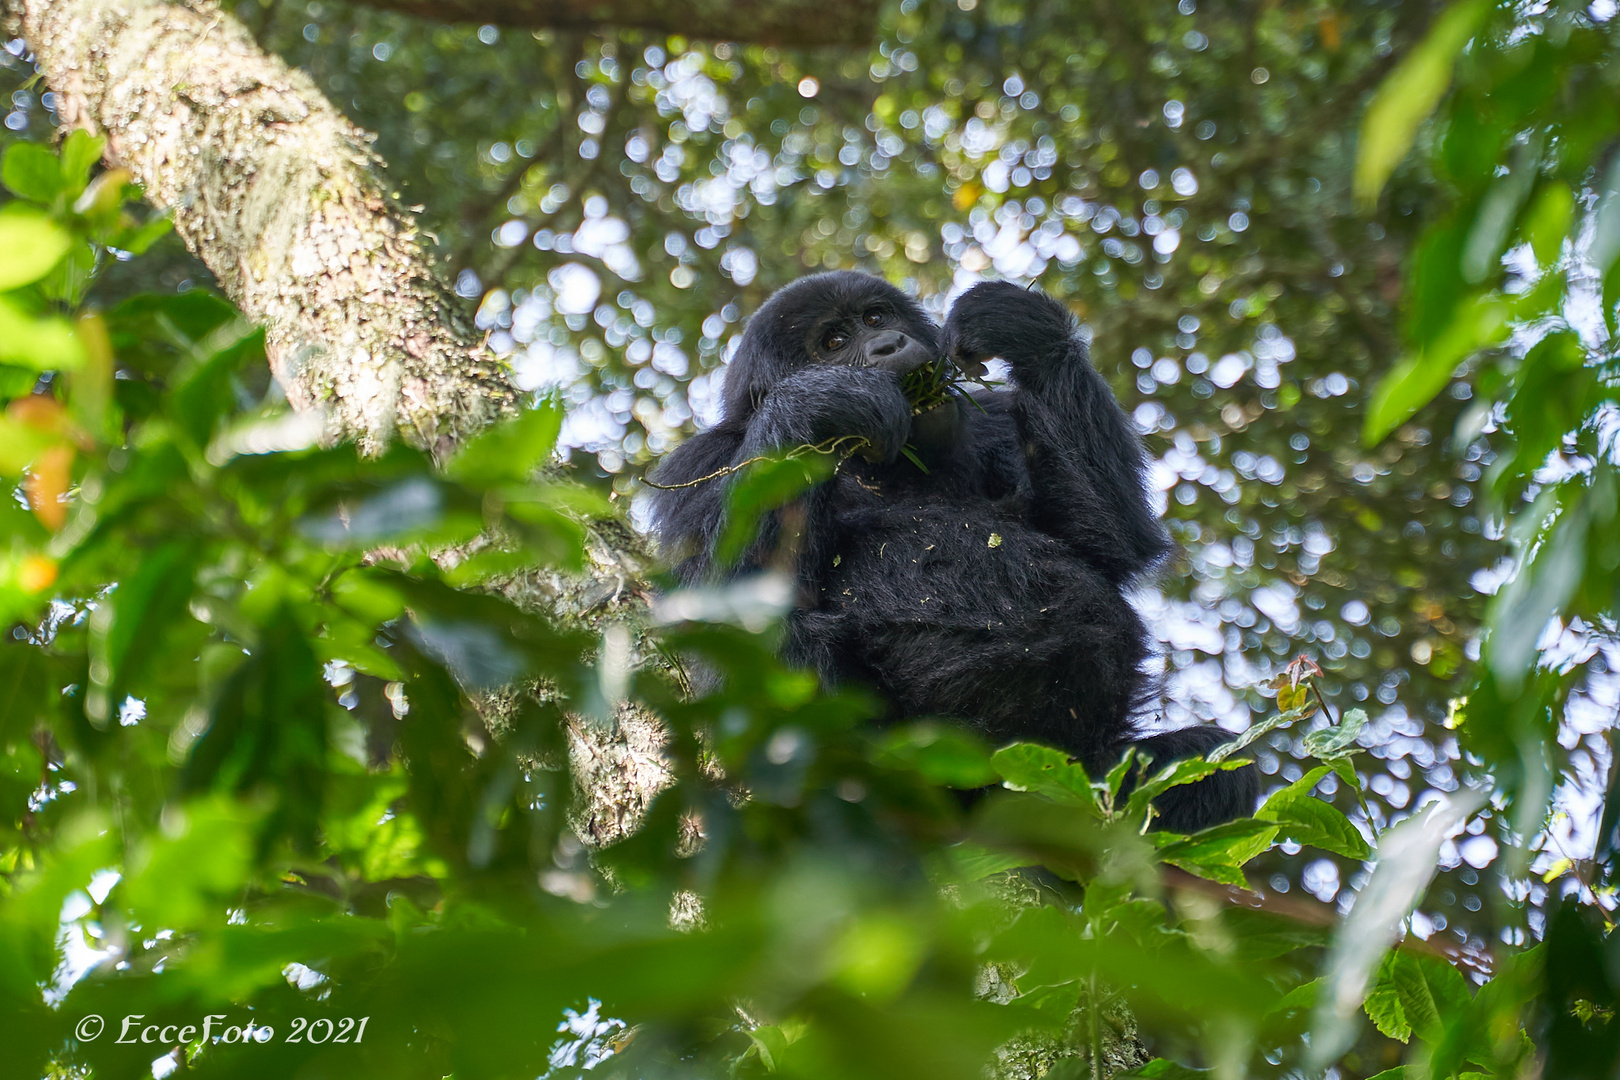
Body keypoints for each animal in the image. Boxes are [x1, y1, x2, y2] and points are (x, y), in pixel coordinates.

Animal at [651, 275, 1257, 835]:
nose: (887, 343)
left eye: (875, 317)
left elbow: (1110, 543)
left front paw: (1022, 329)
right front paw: (820, 403)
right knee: (786, 640)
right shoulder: (699, 467)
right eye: (834, 341)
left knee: (1216, 762)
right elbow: (732, 618)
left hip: (1076, 774)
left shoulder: (992, 414)